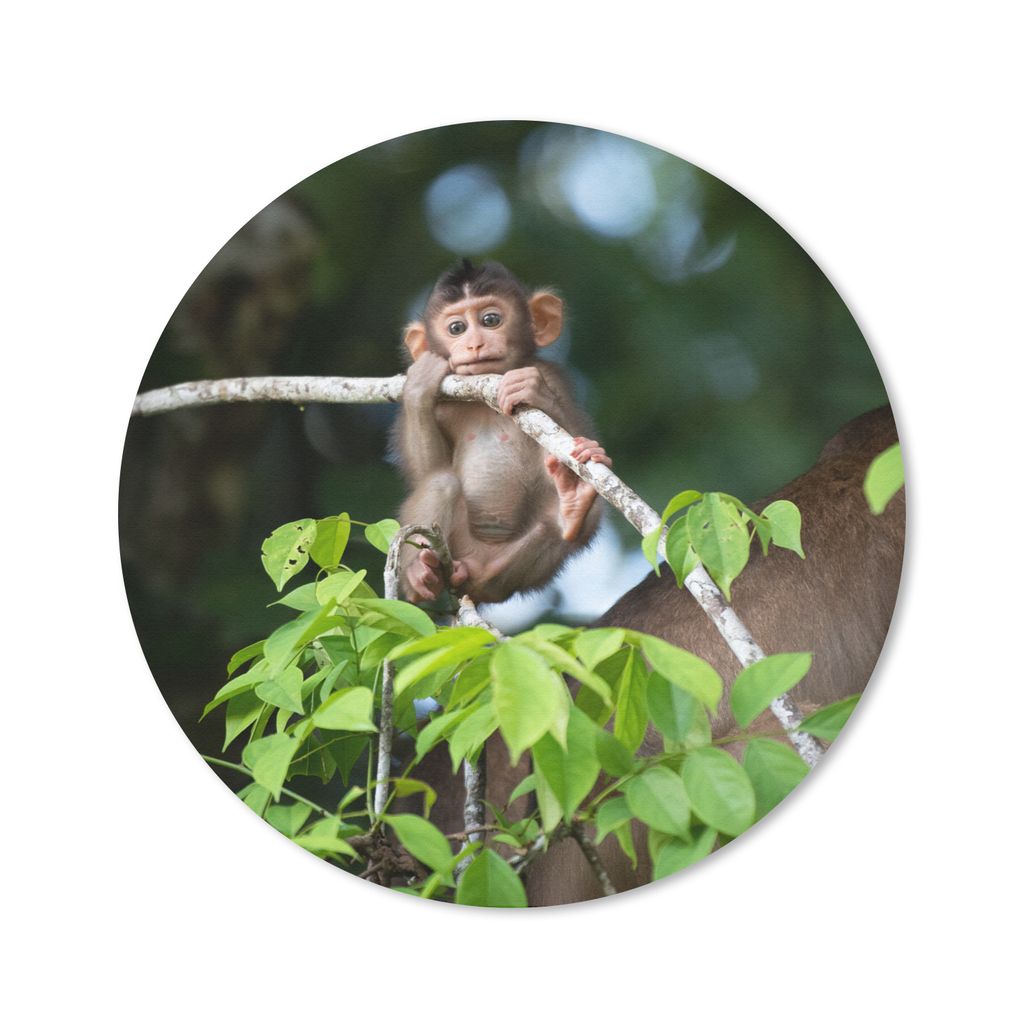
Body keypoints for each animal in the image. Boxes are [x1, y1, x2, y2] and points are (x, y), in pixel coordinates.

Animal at [394, 260, 611, 605]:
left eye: (491, 320)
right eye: (456, 328)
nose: (475, 344)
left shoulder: (551, 375)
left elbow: (564, 434)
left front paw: (534, 392)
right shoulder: (443, 402)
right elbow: (425, 470)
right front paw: (419, 385)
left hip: (503, 571)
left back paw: (572, 509)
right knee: (440, 482)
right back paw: (420, 577)